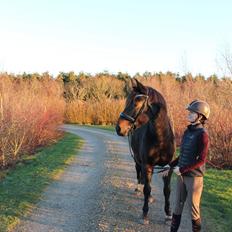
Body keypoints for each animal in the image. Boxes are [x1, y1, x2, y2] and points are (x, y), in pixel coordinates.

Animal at [115, 79, 175, 224]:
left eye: (136, 102)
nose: (119, 128)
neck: (161, 138)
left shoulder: (168, 167)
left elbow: (167, 190)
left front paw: (168, 214)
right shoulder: (146, 164)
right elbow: (147, 189)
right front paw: (145, 213)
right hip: (138, 159)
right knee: (139, 174)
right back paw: (138, 188)